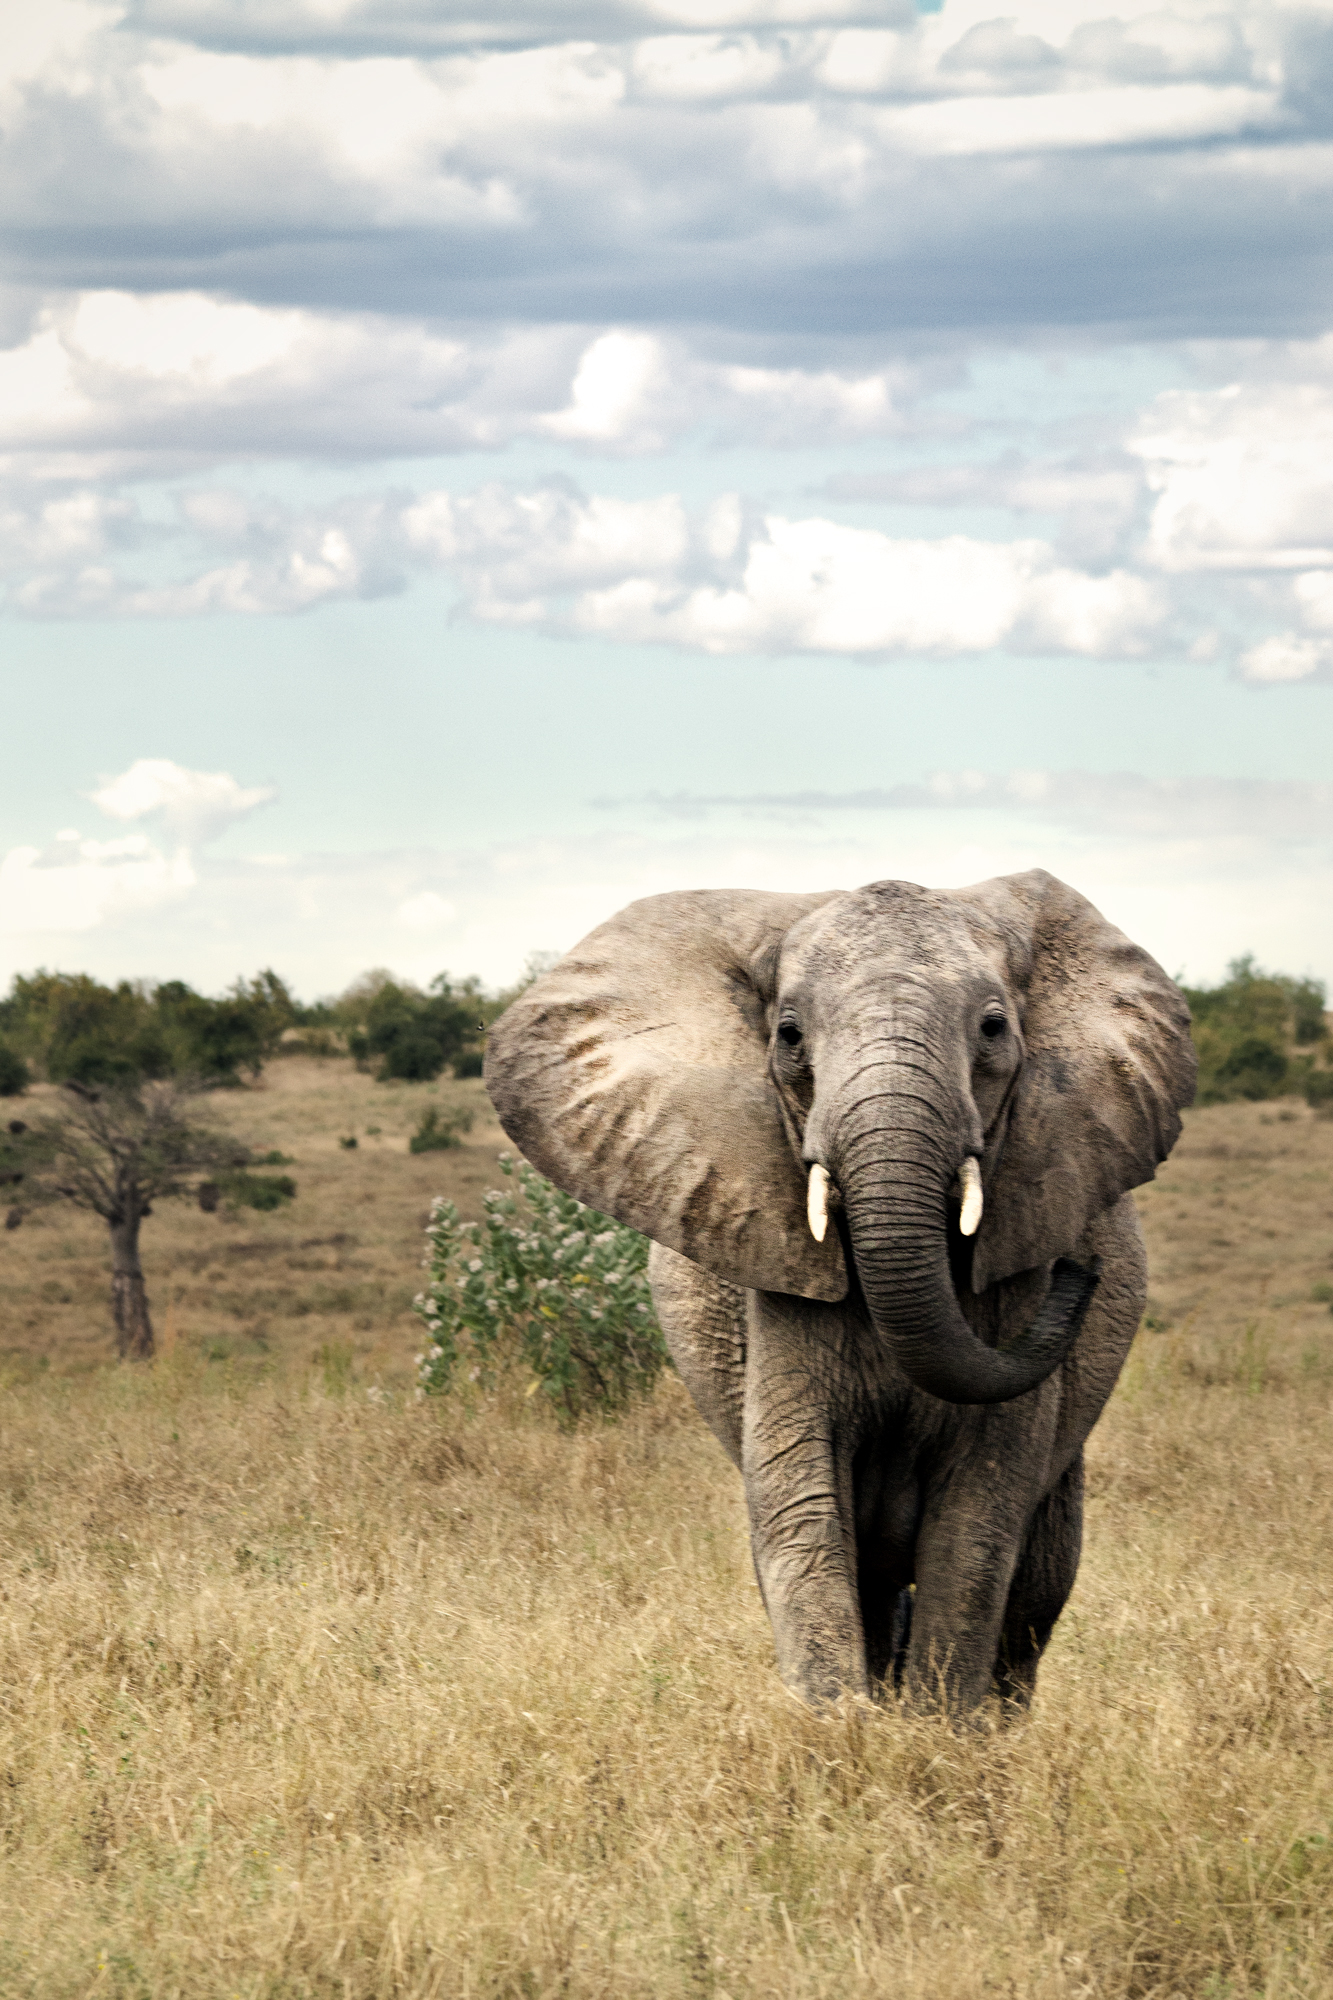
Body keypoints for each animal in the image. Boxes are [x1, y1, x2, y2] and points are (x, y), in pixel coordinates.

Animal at [484, 869, 1196, 1714]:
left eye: (993, 1028)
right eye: (789, 1036)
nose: (1079, 1272)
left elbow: (979, 1514)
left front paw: (936, 1728)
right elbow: (799, 1492)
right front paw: (838, 1724)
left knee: (1038, 1586)